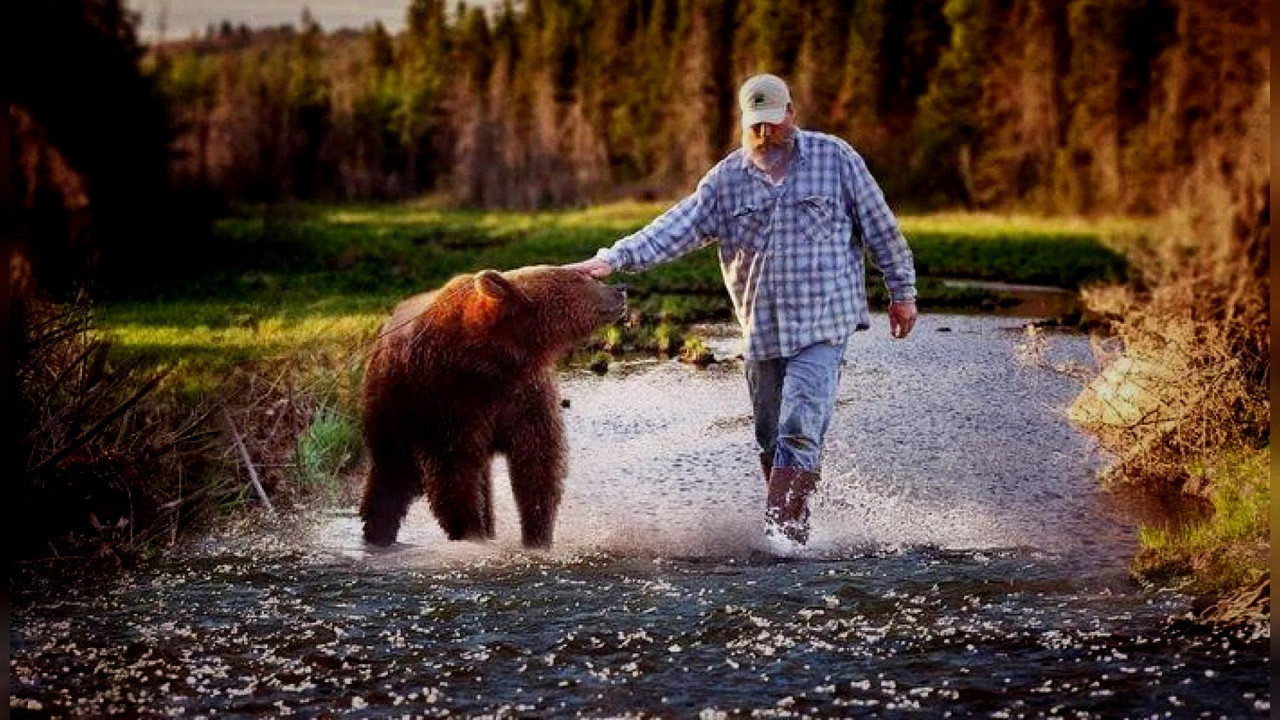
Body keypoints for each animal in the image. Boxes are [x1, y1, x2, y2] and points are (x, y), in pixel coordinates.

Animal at [359, 265, 627, 548]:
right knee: (392, 473)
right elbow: (454, 474)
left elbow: (537, 463)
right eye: (580, 278)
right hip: (394, 408)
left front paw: (537, 536)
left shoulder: (524, 395)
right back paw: (378, 533)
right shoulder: (449, 398)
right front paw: (472, 534)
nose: (620, 288)